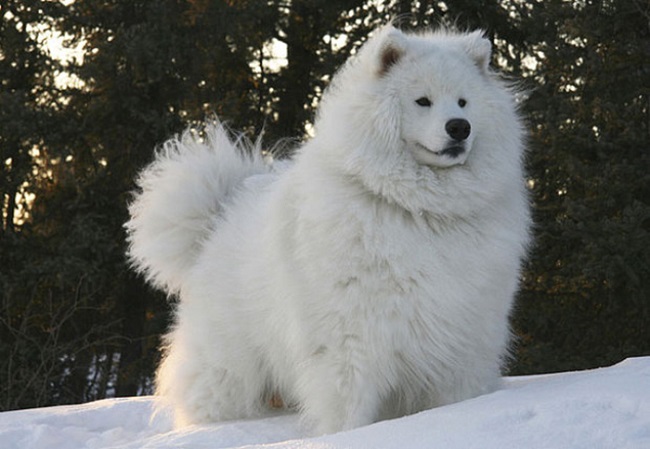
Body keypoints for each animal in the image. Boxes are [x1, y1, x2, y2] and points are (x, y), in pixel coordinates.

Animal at [128, 27, 532, 434]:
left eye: (464, 102)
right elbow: (348, 408)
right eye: (422, 101)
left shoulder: (463, 340)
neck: (422, 212)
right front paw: (346, 436)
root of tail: (221, 213)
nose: (459, 127)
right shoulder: (349, 344)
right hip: (229, 364)